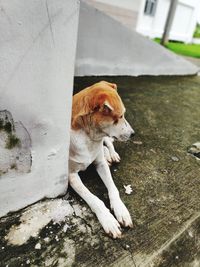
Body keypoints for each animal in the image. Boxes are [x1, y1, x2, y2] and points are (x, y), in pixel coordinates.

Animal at [69, 81, 134, 239]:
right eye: (120, 116)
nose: (133, 134)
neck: (89, 137)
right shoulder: (71, 176)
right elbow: (94, 199)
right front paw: (108, 219)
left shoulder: (101, 164)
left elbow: (113, 189)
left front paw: (121, 210)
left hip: (107, 140)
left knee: (108, 142)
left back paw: (112, 154)